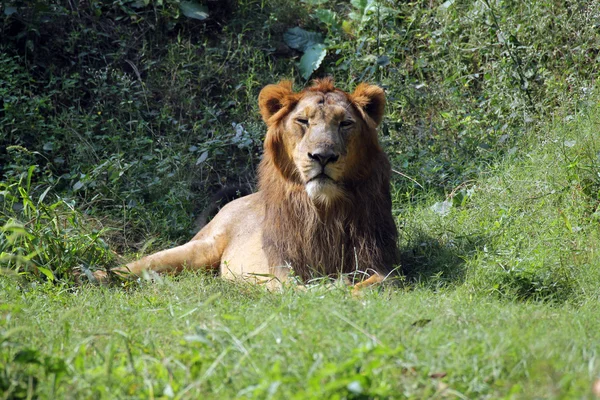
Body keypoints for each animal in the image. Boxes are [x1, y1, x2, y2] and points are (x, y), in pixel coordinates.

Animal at [97, 78, 398, 290]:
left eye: (345, 123)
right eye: (302, 121)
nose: (322, 156)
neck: (325, 209)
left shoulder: (380, 264)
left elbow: (373, 286)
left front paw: (341, 288)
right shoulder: (282, 267)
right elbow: (298, 290)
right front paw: (326, 290)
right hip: (198, 248)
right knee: (134, 266)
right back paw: (94, 275)